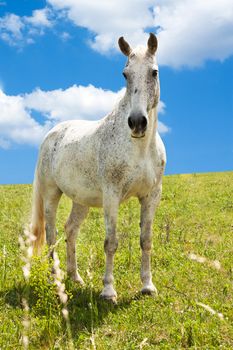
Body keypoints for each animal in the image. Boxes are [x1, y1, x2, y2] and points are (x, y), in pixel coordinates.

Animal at [31, 32, 166, 300]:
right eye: (125, 74)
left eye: (154, 72)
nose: (137, 122)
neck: (139, 147)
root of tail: (52, 133)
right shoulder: (112, 196)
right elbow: (111, 242)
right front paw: (108, 291)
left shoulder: (151, 196)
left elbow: (146, 240)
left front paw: (147, 286)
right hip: (51, 194)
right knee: (51, 234)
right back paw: (56, 280)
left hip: (80, 200)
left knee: (70, 231)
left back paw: (75, 277)